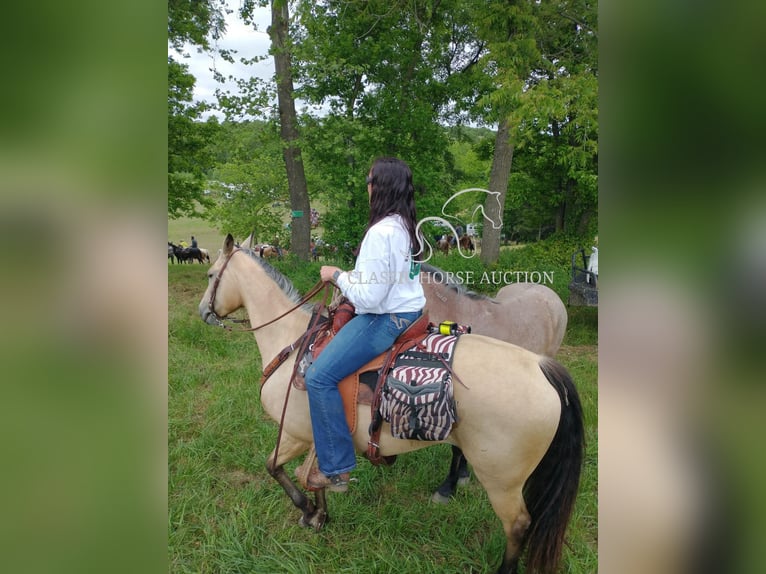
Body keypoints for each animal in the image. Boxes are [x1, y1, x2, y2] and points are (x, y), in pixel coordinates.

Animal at [200, 234, 588, 574]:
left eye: (211, 274)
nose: (203, 311)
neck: (293, 342)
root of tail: (541, 367)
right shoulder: (313, 437)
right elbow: (304, 473)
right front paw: (321, 513)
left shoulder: (295, 434)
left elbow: (277, 468)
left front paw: (309, 511)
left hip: (502, 481)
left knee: (519, 526)